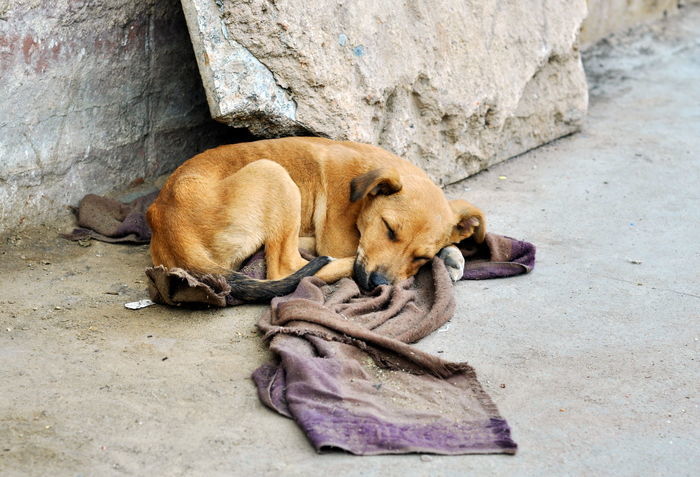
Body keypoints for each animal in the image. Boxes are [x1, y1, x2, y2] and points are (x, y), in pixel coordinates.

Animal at [146, 136, 486, 300]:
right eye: (389, 229)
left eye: (421, 256)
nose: (378, 284)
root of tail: (168, 223)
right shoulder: (341, 240)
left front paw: (451, 254)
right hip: (273, 173)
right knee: (286, 267)